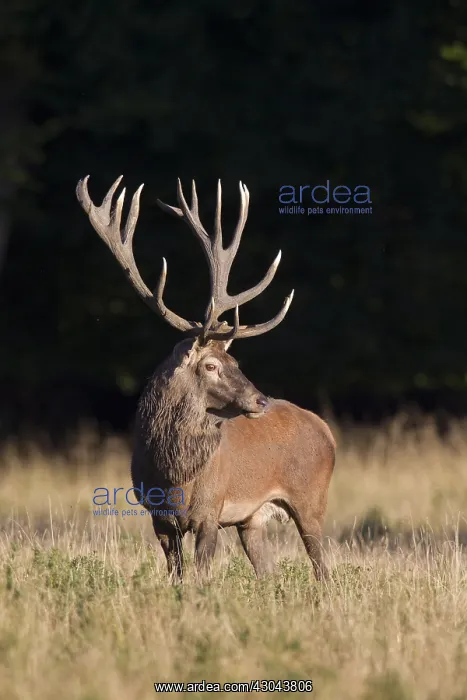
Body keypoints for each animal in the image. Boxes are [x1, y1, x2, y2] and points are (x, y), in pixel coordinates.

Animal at [76, 174, 336, 582]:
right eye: (212, 365)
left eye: (235, 359)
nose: (260, 400)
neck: (173, 478)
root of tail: (326, 430)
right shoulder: (158, 520)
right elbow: (177, 576)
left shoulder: (210, 511)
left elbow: (200, 577)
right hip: (252, 519)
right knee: (269, 571)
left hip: (311, 498)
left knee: (323, 567)